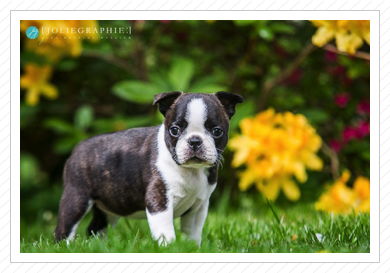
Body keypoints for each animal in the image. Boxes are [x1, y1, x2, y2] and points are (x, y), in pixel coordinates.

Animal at [54, 91, 244, 244]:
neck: (191, 171)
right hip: (76, 198)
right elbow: (166, 233)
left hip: (108, 208)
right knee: (64, 230)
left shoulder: (198, 207)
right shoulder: (159, 201)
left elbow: (193, 234)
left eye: (217, 131)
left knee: (96, 228)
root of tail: (78, 147)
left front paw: (192, 249)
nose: (195, 141)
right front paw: (169, 249)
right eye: (174, 130)